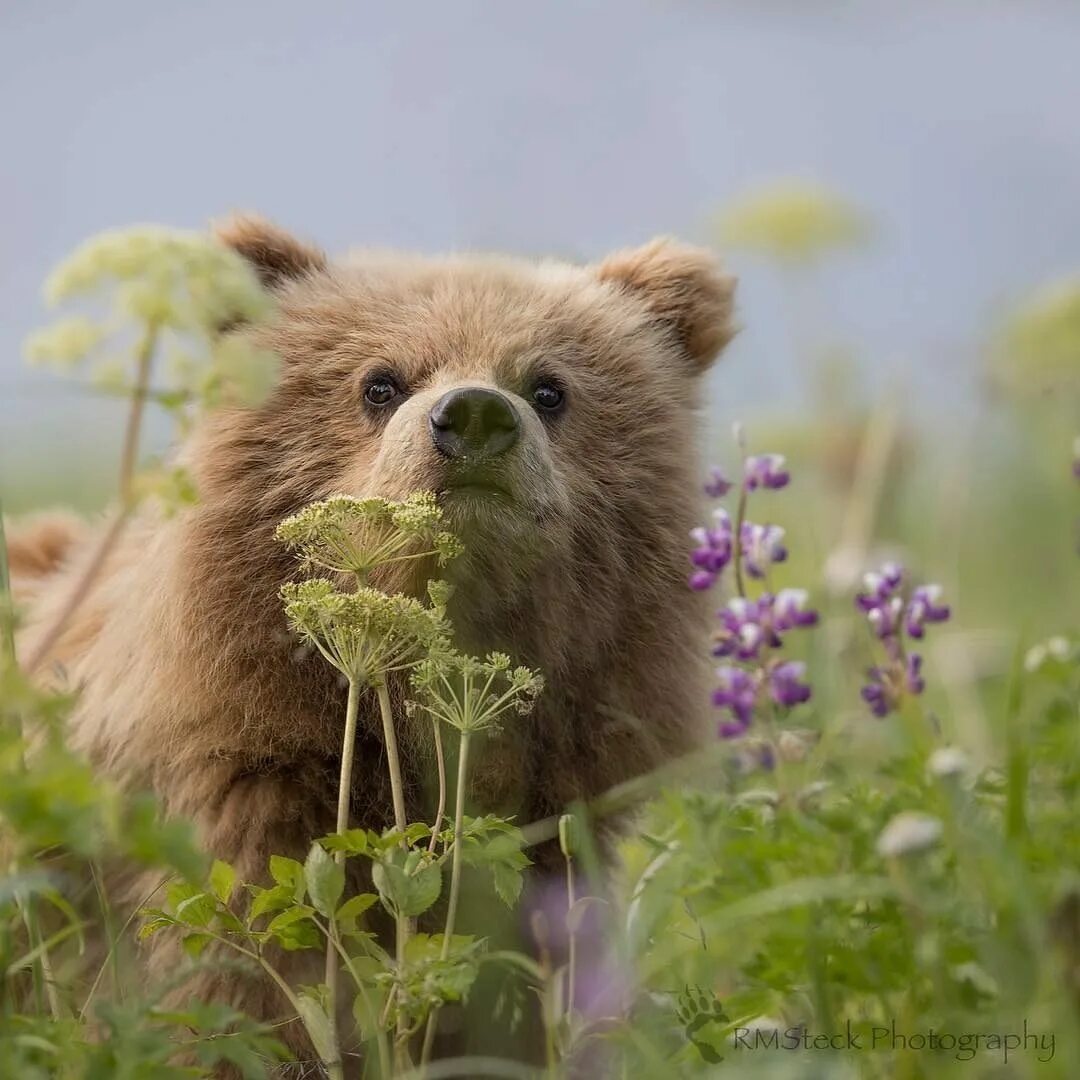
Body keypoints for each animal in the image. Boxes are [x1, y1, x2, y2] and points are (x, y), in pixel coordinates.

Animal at [10, 217, 734, 1062]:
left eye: (550, 387)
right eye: (379, 381)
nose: (475, 416)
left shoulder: (546, 840)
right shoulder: (248, 814)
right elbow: (247, 991)